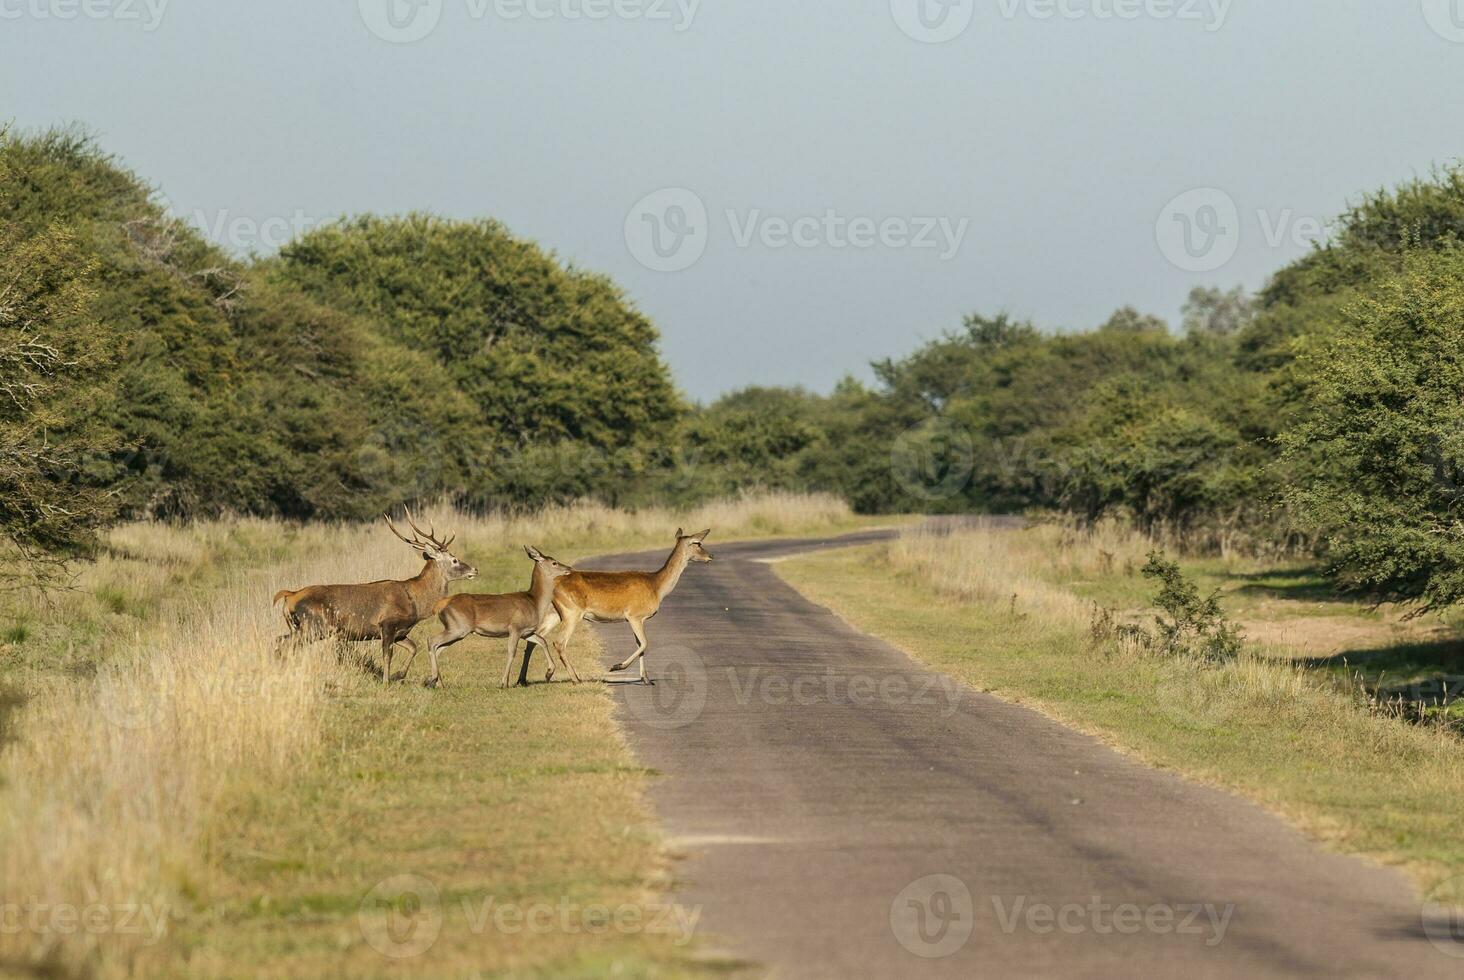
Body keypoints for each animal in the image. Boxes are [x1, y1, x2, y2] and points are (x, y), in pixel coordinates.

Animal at [272, 509, 477, 685]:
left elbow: (413, 647)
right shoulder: (387, 624)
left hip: (301, 627)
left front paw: (398, 675)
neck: (415, 601)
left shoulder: (401, 631)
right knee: (284, 644)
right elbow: (387, 655)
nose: (474, 569)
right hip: (314, 626)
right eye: (454, 560)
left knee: (280, 641)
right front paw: (386, 681)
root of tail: (291, 595)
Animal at [418, 547, 576, 691]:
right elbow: (512, 652)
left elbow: (542, 641)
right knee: (432, 640)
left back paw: (437, 682)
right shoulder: (515, 627)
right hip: (458, 627)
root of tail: (440, 604)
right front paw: (503, 683)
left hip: (456, 630)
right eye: (554, 562)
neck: (534, 602)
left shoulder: (526, 632)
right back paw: (432, 680)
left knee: (438, 648)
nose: (569, 568)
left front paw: (549, 673)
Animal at [541, 530, 717, 685]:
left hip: (554, 612)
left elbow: (640, 645)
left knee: (539, 635)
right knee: (559, 642)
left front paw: (646, 679)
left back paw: (546, 675)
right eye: (697, 543)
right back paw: (575, 679)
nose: (711, 556)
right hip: (572, 612)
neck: (656, 587)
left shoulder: (635, 619)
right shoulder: (634, 615)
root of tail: (554, 584)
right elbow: (645, 643)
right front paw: (616, 666)